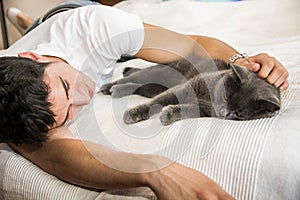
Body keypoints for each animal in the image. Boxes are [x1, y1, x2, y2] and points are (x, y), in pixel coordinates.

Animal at [101, 57, 282, 125]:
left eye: (239, 114)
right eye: (226, 96)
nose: (223, 113)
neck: (209, 98)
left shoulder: (203, 111)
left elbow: (186, 111)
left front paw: (168, 114)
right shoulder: (185, 87)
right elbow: (157, 101)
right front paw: (133, 113)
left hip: (153, 86)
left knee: (137, 85)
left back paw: (117, 90)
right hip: (160, 73)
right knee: (134, 76)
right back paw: (109, 87)